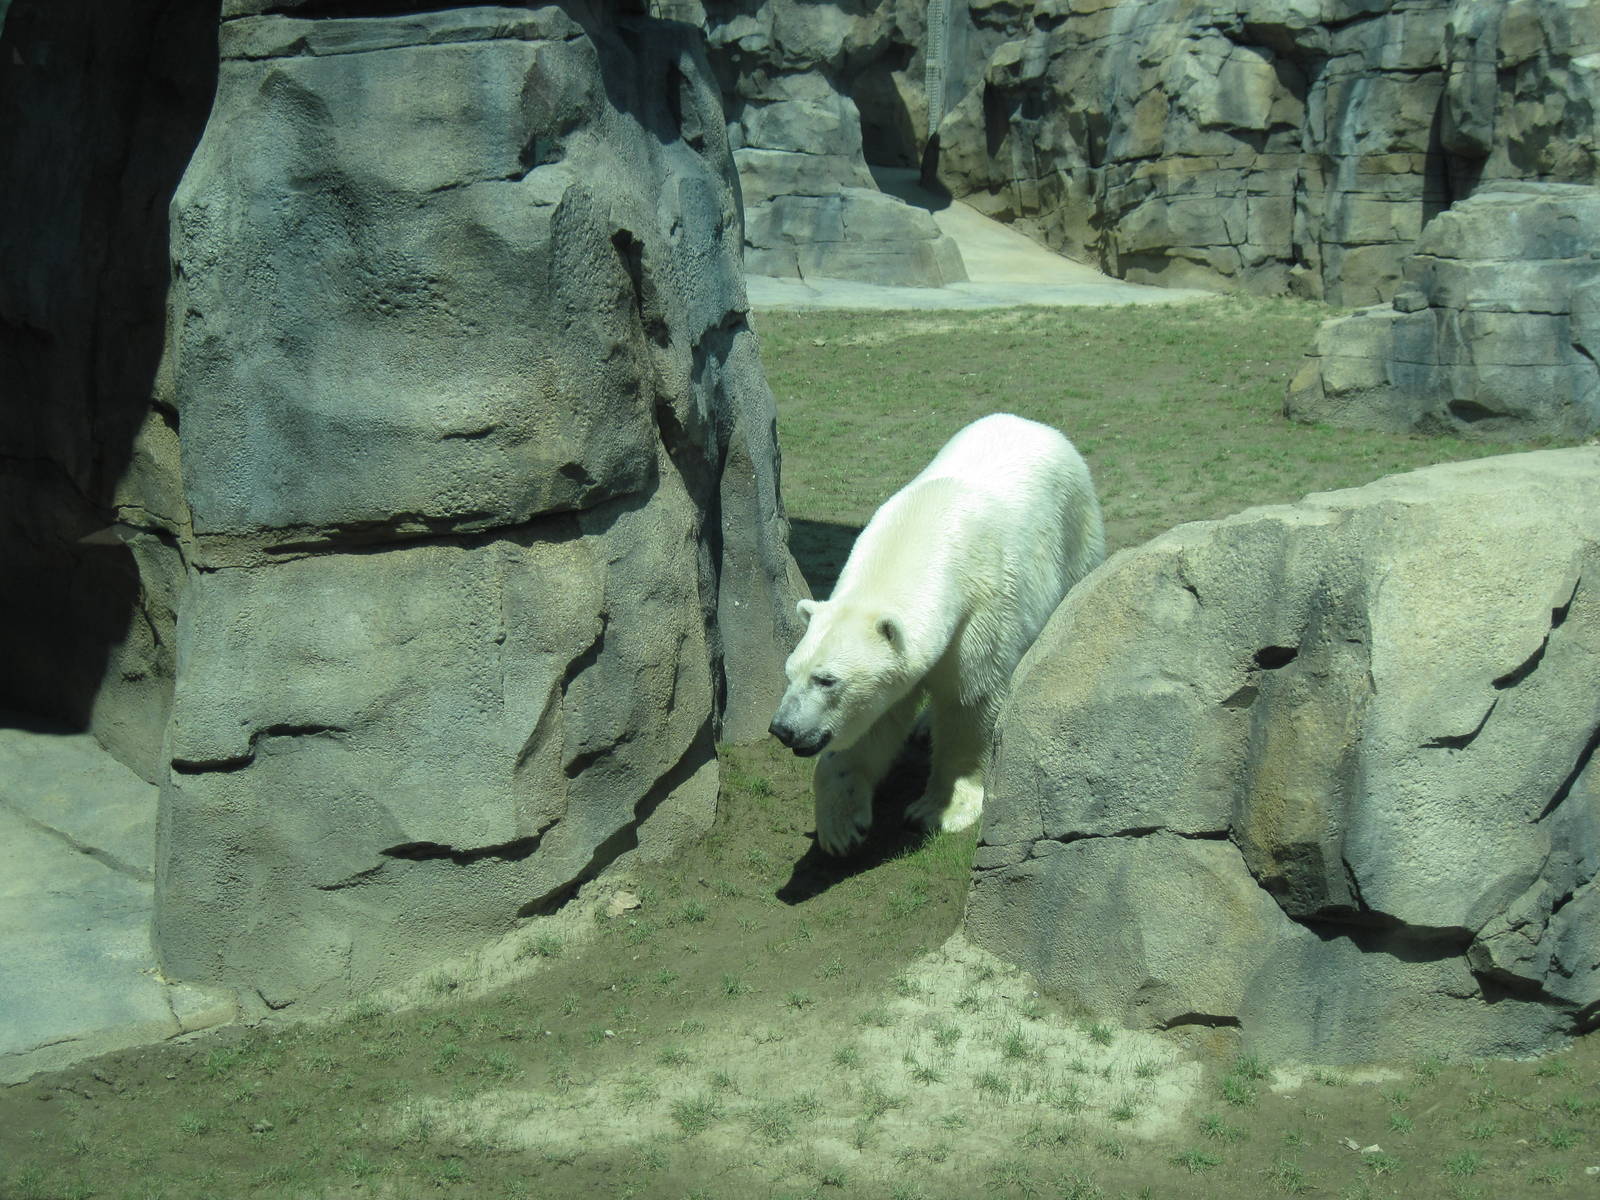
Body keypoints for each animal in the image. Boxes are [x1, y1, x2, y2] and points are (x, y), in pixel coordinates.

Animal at [769, 412, 1105, 855]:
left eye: (826, 680)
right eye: (790, 672)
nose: (782, 729)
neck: (924, 527)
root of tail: (1032, 423)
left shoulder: (982, 615)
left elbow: (970, 702)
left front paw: (937, 810)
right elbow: (875, 719)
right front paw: (841, 825)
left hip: (1075, 529)